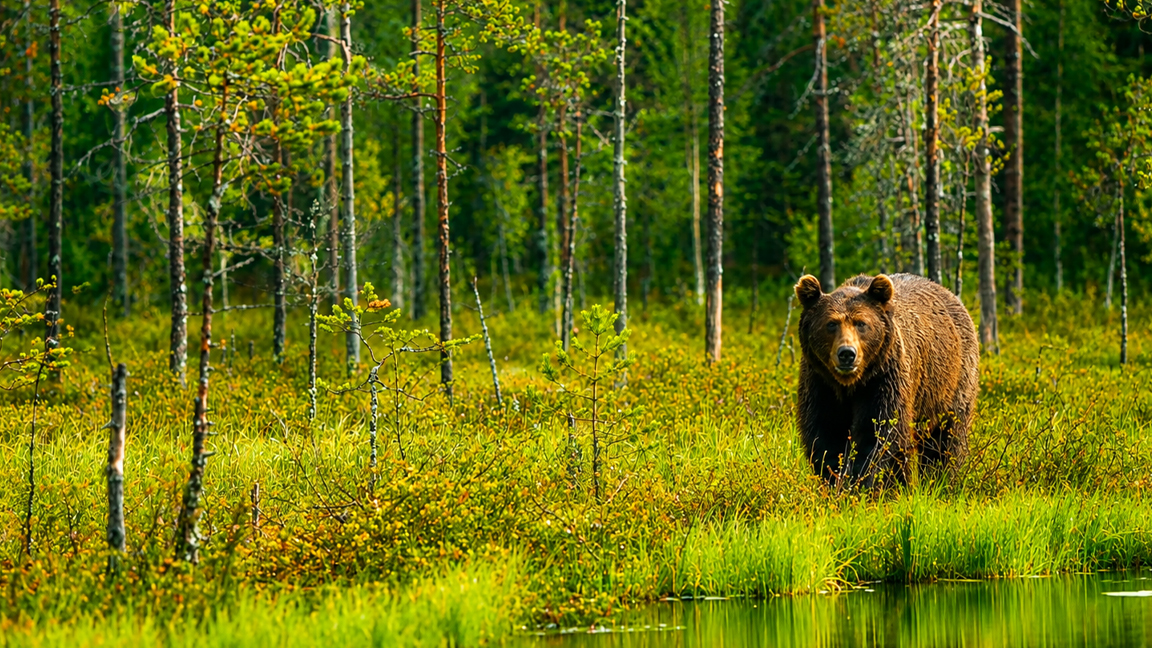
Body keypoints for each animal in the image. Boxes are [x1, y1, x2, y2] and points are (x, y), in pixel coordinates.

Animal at [793, 273, 979, 486]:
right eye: (831, 324)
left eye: (861, 323)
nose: (847, 354)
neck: (850, 383)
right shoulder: (821, 381)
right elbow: (826, 430)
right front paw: (833, 479)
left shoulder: (884, 378)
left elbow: (879, 431)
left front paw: (862, 481)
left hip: (950, 382)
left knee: (946, 438)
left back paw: (938, 479)